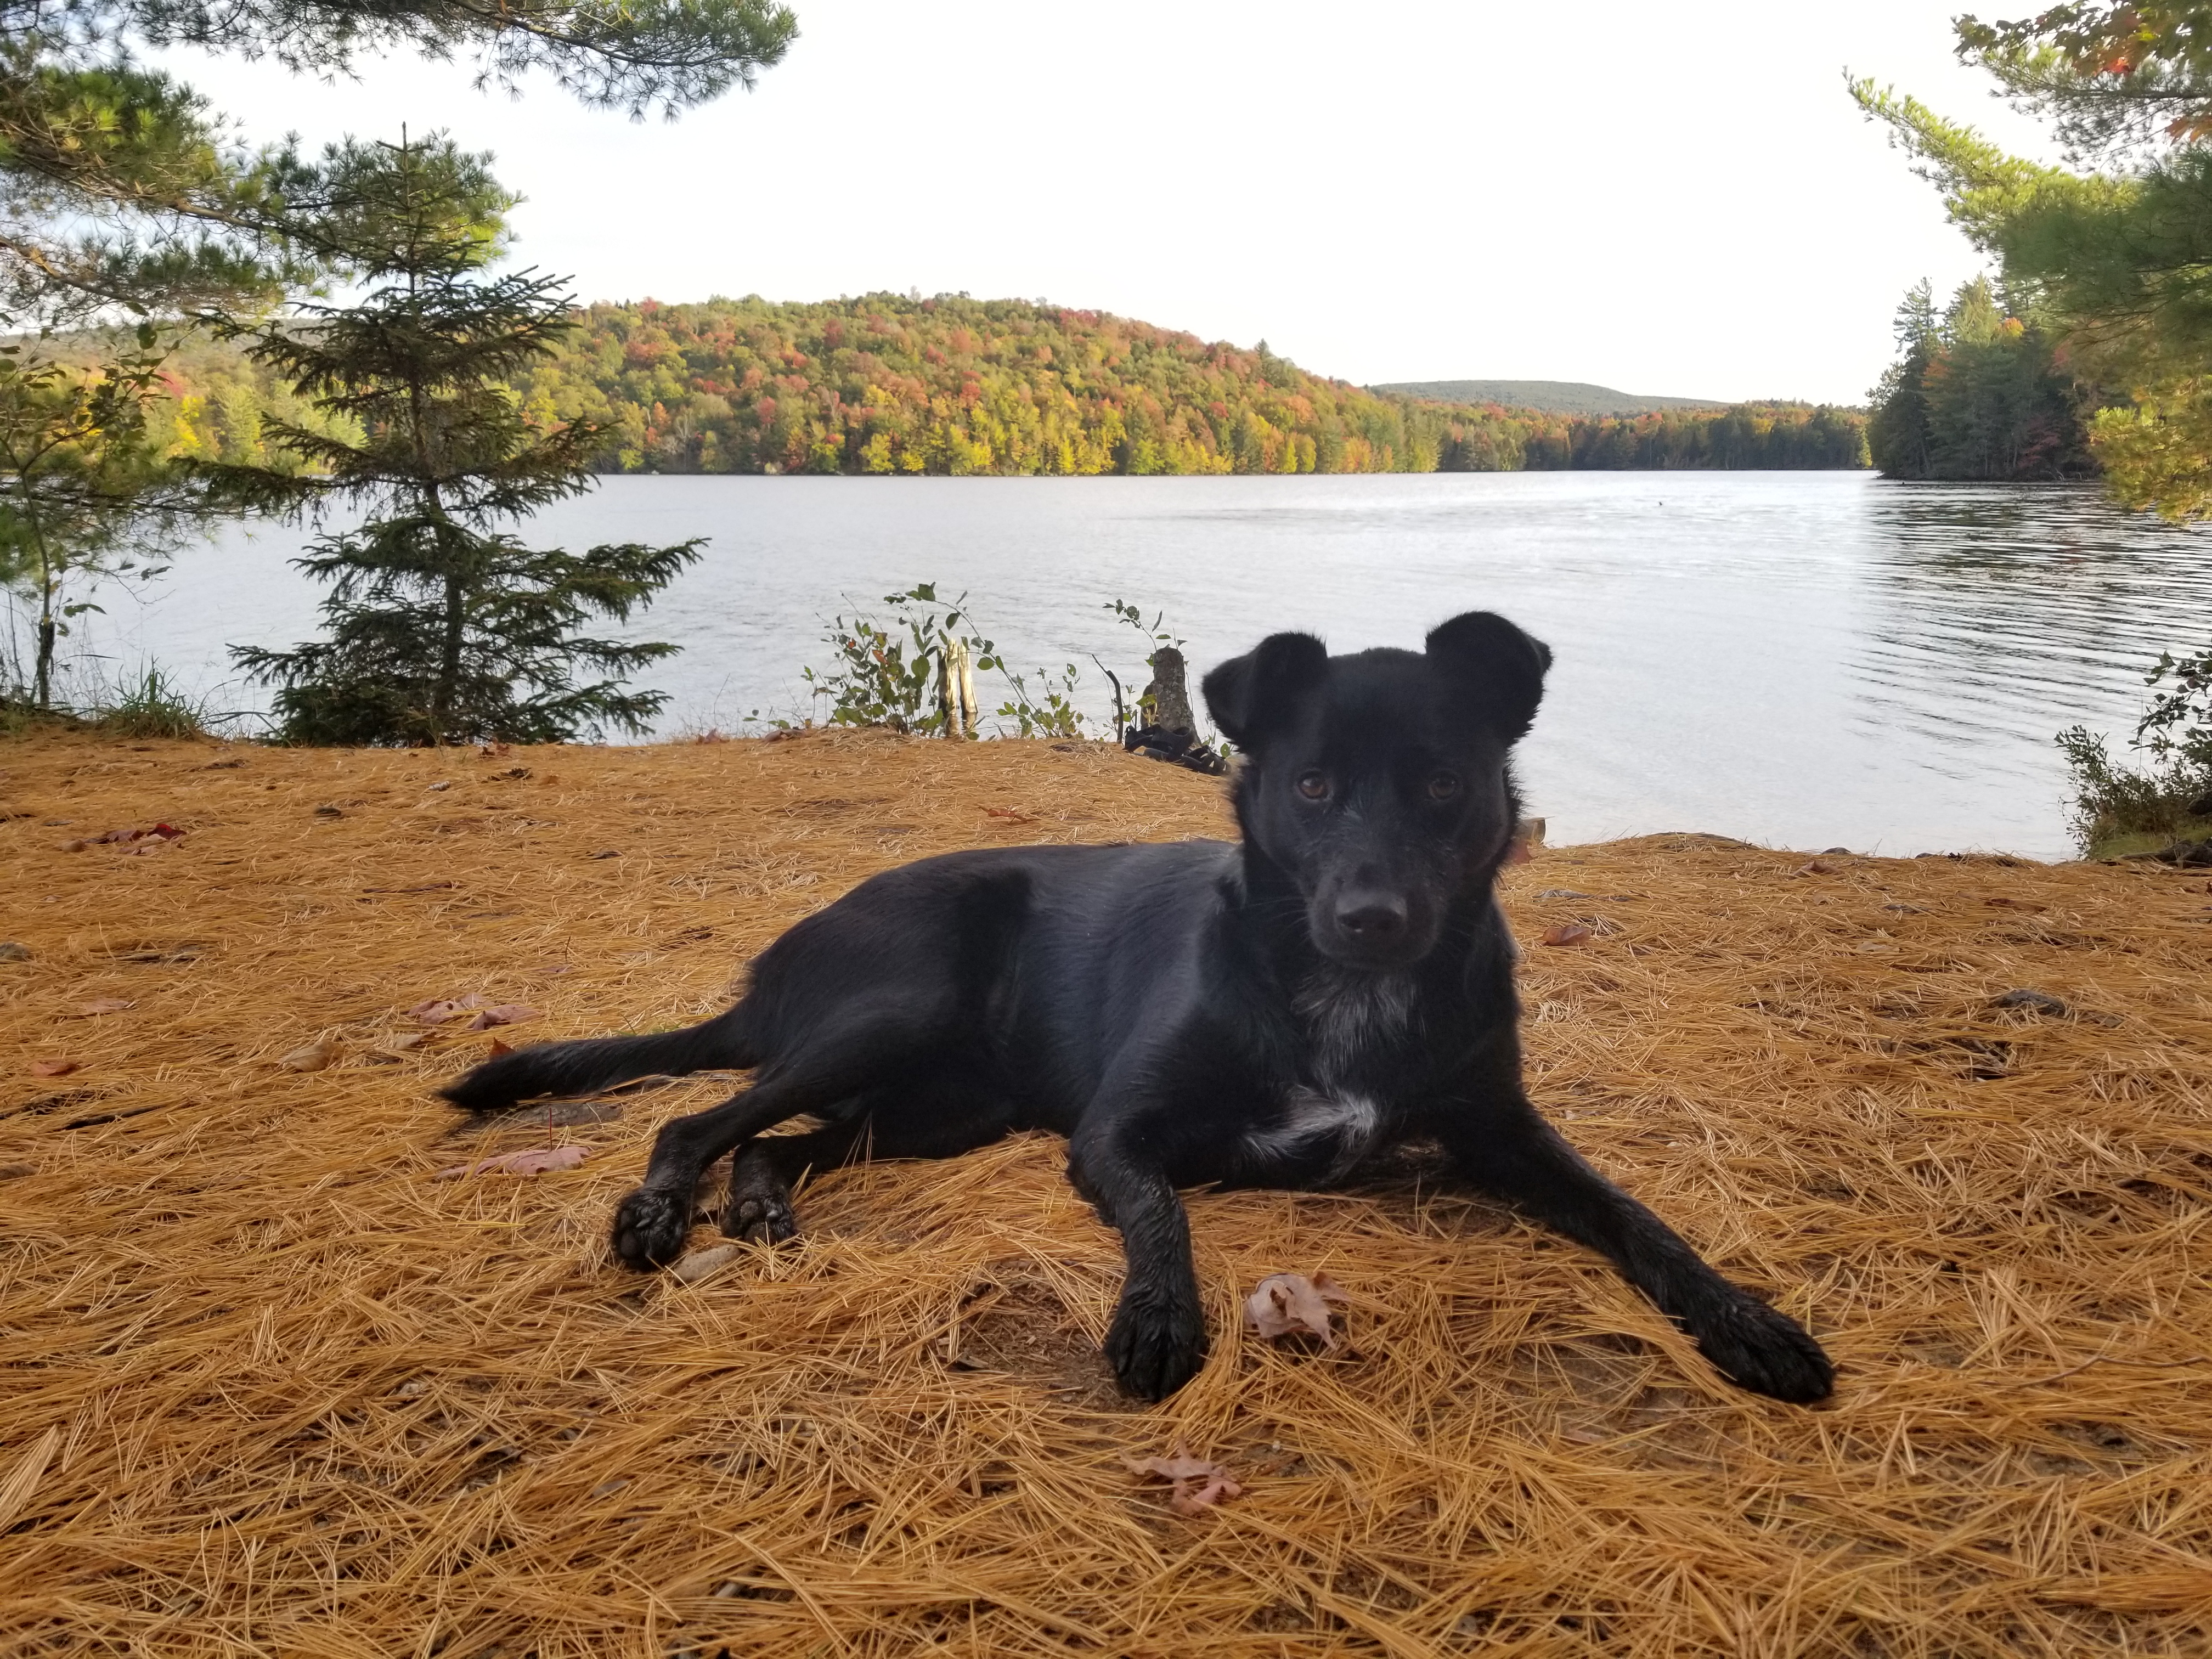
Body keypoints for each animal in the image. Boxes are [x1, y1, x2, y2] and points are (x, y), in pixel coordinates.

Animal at [444, 619, 1831, 1407]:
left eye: (1444, 783)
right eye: (1312, 785)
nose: (1372, 919)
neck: (1333, 991)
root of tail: (776, 962)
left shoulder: (1505, 1130)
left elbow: (1638, 1217)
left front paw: (1748, 1322)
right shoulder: (1116, 1130)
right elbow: (1163, 1210)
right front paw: (1160, 1317)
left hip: (945, 1105)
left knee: (779, 1141)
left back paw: (764, 1205)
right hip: (897, 1010)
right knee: (696, 1118)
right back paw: (660, 1212)